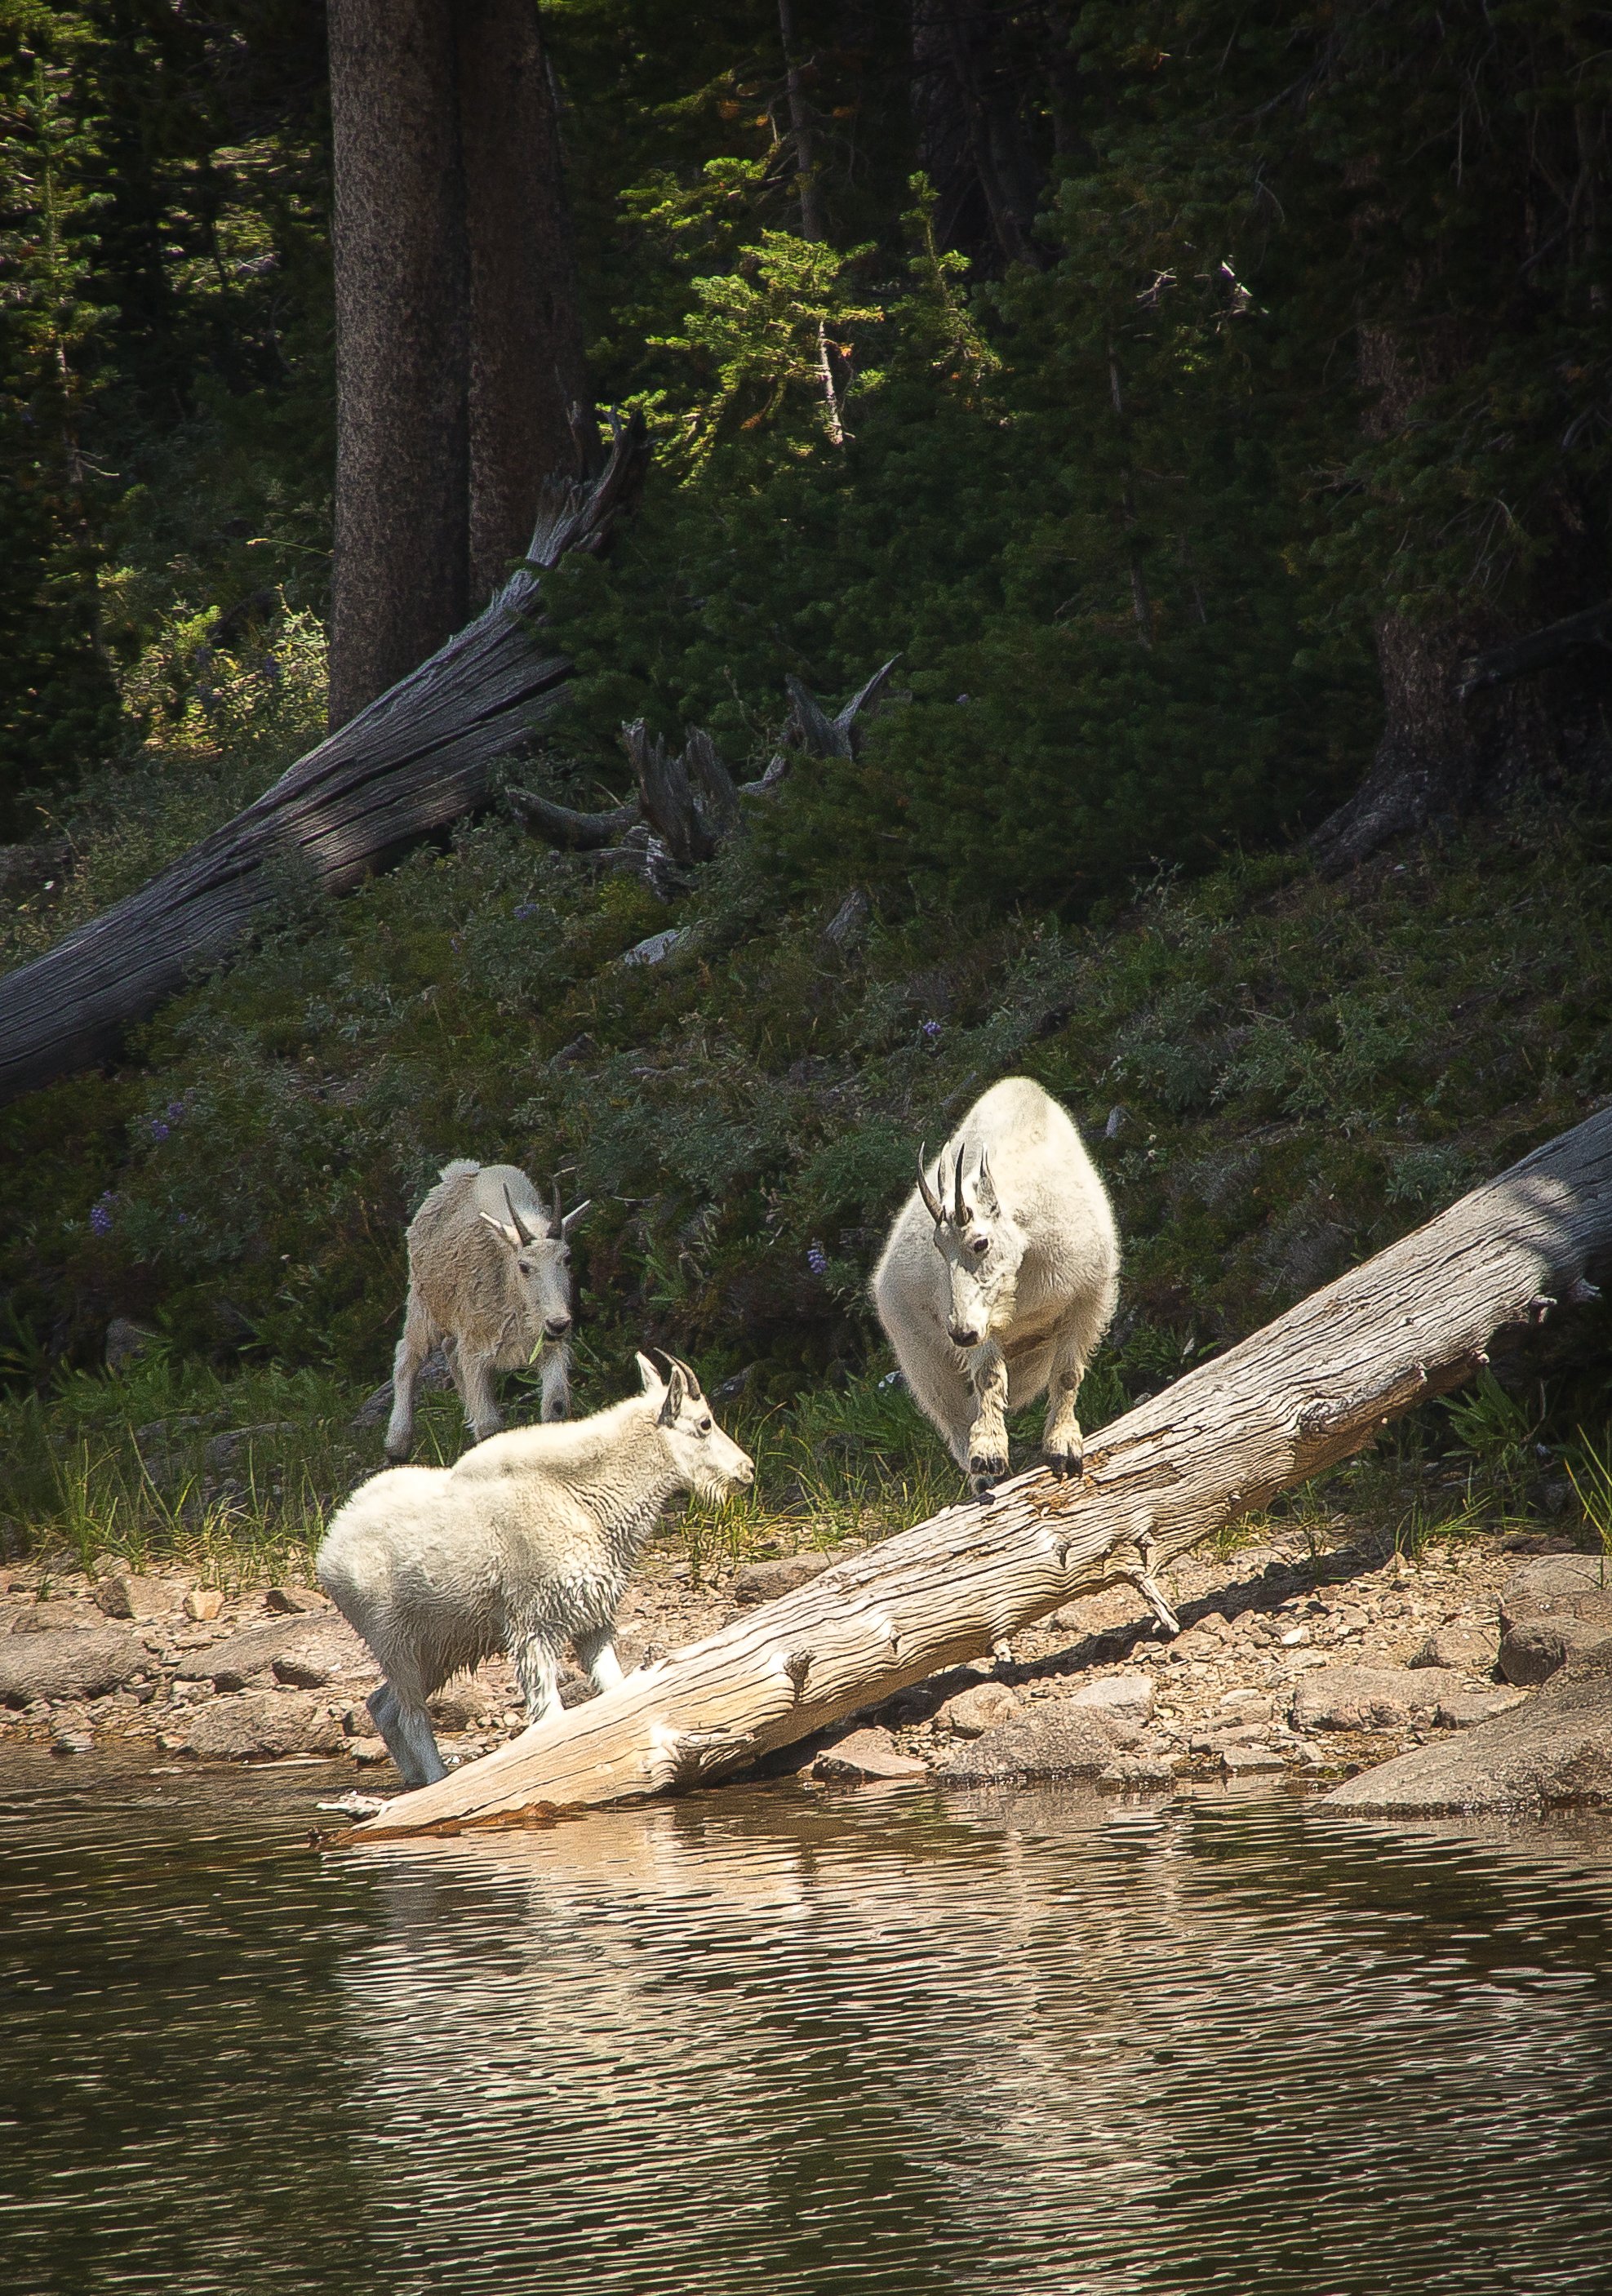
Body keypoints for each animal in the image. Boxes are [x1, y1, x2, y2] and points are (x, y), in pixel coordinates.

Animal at [320, 1349, 753, 1789]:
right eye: (704, 1423)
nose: (747, 1470)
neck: (586, 1501)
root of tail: (329, 1547)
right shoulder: (532, 1625)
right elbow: (550, 1714)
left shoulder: (591, 1620)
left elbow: (616, 1694)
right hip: (394, 1641)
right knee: (412, 1716)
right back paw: (438, 1779)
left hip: (440, 1646)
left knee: (383, 1705)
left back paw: (413, 1781)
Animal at [385, 1159, 588, 1462]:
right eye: (524, 1266)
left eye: (567, 1258)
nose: (559, 1323)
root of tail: (454, 1173)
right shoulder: (477, 1350)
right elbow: (490, 1426)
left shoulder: (549, 1347)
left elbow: (557, 1407)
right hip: (425, 1305)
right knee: (407, 1357)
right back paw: (397, 1444)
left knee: (449, 1350)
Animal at [871, 1075, 1119, 1493]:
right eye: (938, 1246)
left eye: (980, 1242)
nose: (960, 1333)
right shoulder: (981, 1324)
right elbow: (988, 1378)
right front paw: (988, 1455)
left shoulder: (1087, 1297)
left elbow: (1068, 1374)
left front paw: (1064, 1449)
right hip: (923, 1358)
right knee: (953, 1419)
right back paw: (982, 1479)